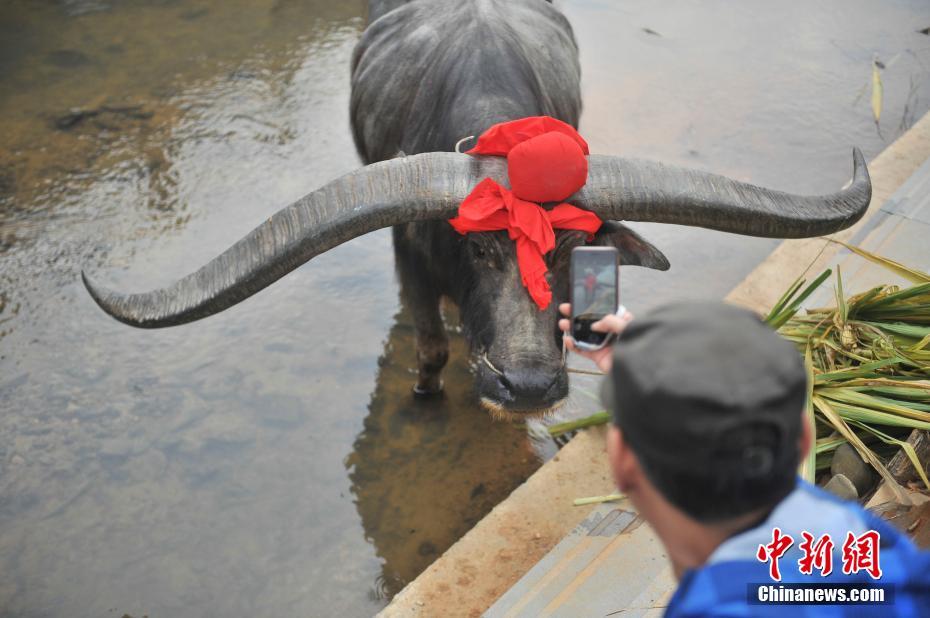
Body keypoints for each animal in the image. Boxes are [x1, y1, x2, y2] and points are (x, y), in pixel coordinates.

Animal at [83, 1, 872, 414]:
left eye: (568, 251)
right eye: (480, 246)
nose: (527, 385)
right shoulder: (412, 260)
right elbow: (431, 345)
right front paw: (426, 392)